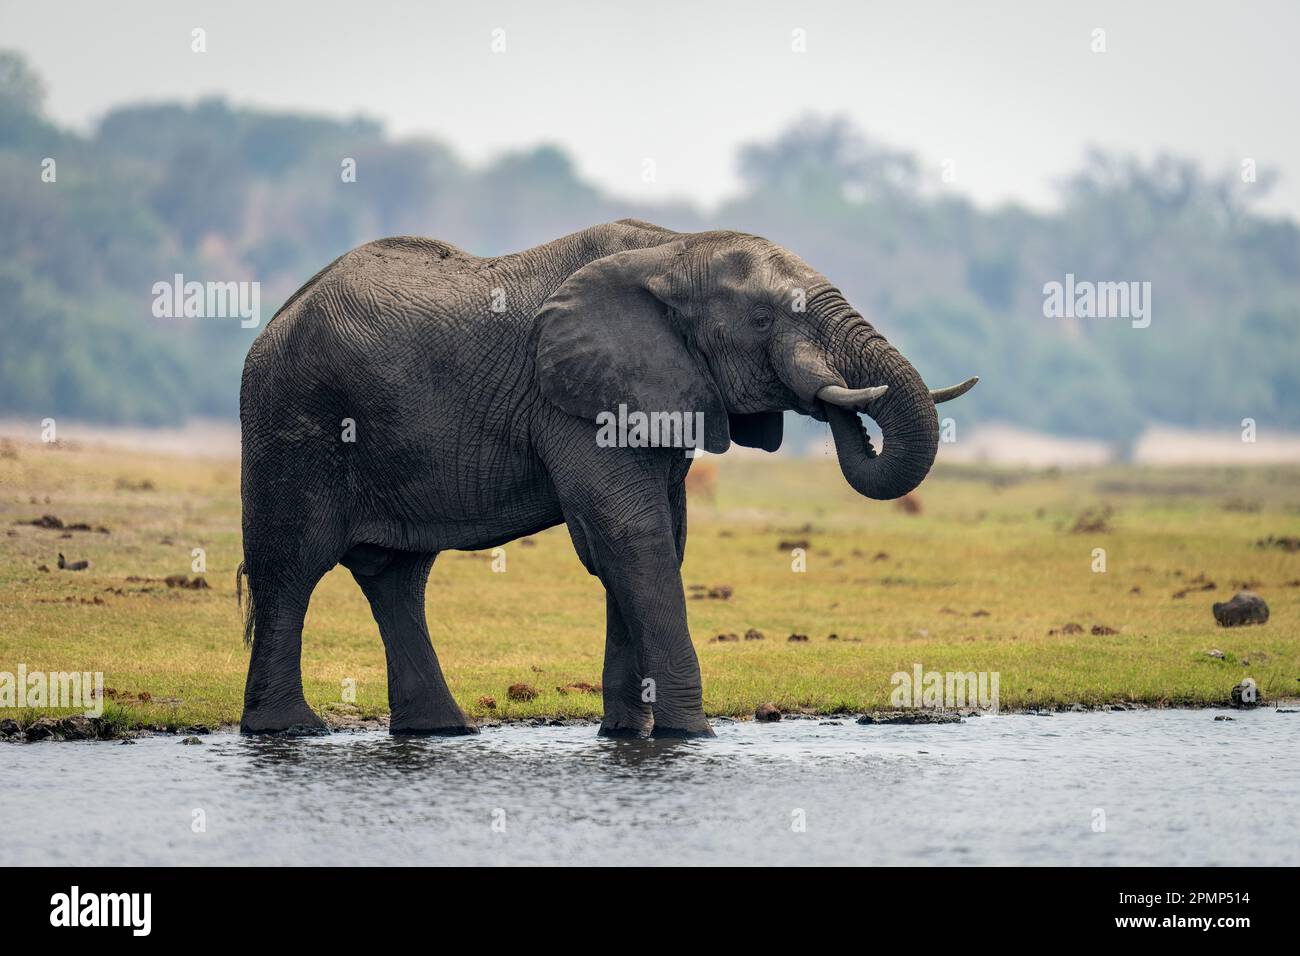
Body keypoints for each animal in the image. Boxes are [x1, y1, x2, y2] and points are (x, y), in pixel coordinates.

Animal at [239, 218, 977, 738]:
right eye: (764, 319)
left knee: (398, 578)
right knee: (291, 567)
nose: (834, 400)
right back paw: (289, 731)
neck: (673, 250)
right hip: (292, 424)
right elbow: (631, 536)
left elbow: (656, 542)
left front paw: (627, 734)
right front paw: (693, 735)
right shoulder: (571, 400)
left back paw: (441, 731)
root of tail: (274, 320)